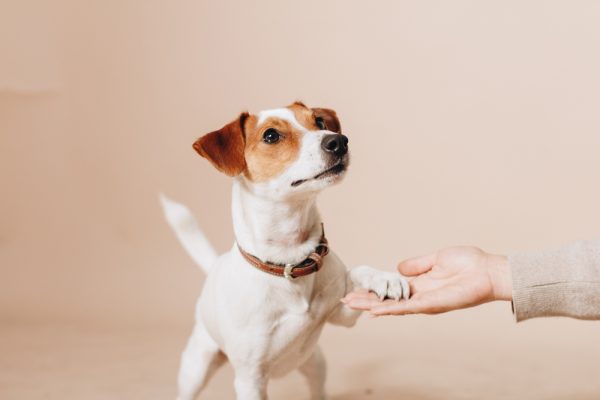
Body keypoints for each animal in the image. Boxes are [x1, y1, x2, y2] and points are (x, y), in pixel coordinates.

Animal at [162, 102, 410, 400]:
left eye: (319, 122)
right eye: (271, 135)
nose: (338, 141)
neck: (289, 263)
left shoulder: (343, 315)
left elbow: (358, 274)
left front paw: (384, 279)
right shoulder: (250, 379)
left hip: (315, 362)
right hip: (197, 366)